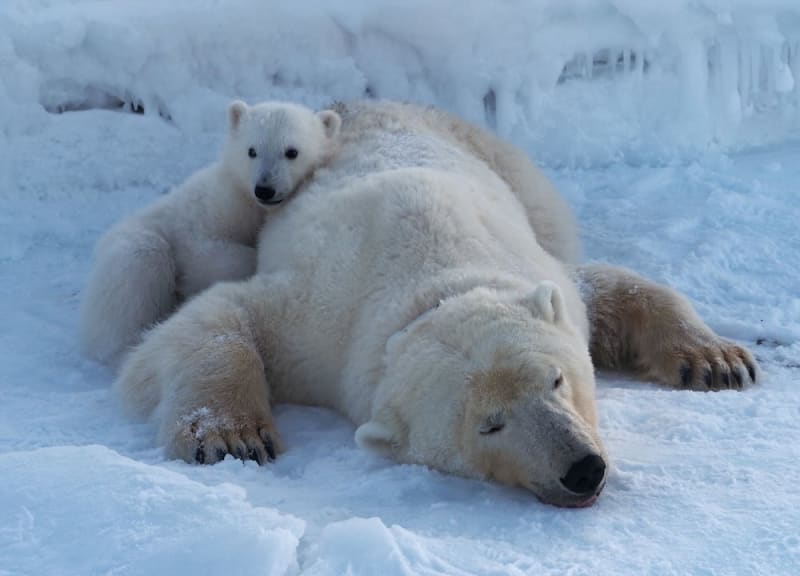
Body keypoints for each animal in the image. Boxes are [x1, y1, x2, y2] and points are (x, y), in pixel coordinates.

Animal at [79, 100, 342, 365]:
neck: (249, 203)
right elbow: (205, 252)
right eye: (252, 150)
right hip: (134, 241)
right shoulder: (209, 211)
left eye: (292, 152)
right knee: (138, 266)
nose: (264, 189)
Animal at [113, 100, 757, 507]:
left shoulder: (531, 266)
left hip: (509, 167)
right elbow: (220, 317)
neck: (431, 278)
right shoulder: (321, 321)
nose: (582, 469)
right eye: (489, 426)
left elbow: (608, 288)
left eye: (556, 379)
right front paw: (231, 437)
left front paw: (717, 362)